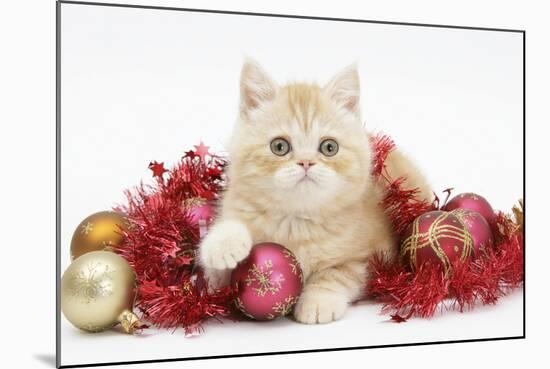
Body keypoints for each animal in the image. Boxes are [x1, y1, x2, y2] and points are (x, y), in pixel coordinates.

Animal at [198, 59, 432, 322]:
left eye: (329, 147)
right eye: (279, 146)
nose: (306, 162)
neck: (296, 223)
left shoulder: (366, 258)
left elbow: (335, 274)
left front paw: (318, 302)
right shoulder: (218, 281)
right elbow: (215, 274)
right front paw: (223, 245)